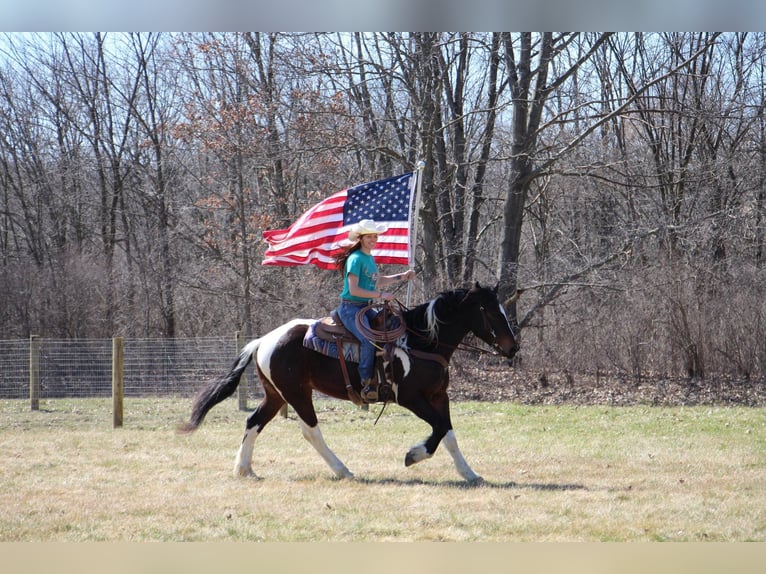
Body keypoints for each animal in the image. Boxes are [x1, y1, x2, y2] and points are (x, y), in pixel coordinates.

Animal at [182, 282, 520, 484]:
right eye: (490, 310)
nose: (513, 347)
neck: (422, 340)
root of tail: (263, 340)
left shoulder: (439, 396)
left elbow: (448, 434)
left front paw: (470, 473)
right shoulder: (411, 398)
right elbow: (437, 429)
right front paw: (413, 456)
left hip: (276, 395)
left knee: (253, 422)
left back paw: (244, 469)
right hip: (297, 393)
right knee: (310, 431)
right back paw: (343, 470)